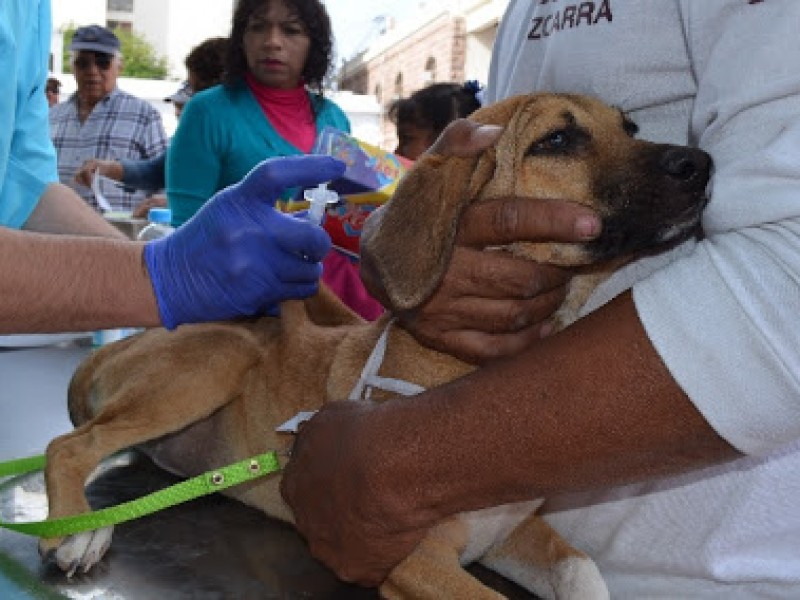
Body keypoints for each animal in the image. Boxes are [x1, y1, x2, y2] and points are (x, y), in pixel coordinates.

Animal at [40, 94, 708, 600]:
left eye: (630, 128)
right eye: (558, 140)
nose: (700, 162)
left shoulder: (512, 529)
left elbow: (583, 571)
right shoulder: (416, 558)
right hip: (222, 354)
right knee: (68, 445)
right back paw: (74, 532)